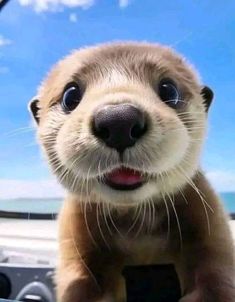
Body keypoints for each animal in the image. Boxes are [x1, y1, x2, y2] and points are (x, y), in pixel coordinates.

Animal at [29, 43, 235, 302]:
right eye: (70, 96)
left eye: (169, 89)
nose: (119, 121)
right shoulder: (74, 235)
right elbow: (79, 282)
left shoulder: (211, 225)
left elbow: (215, 280)